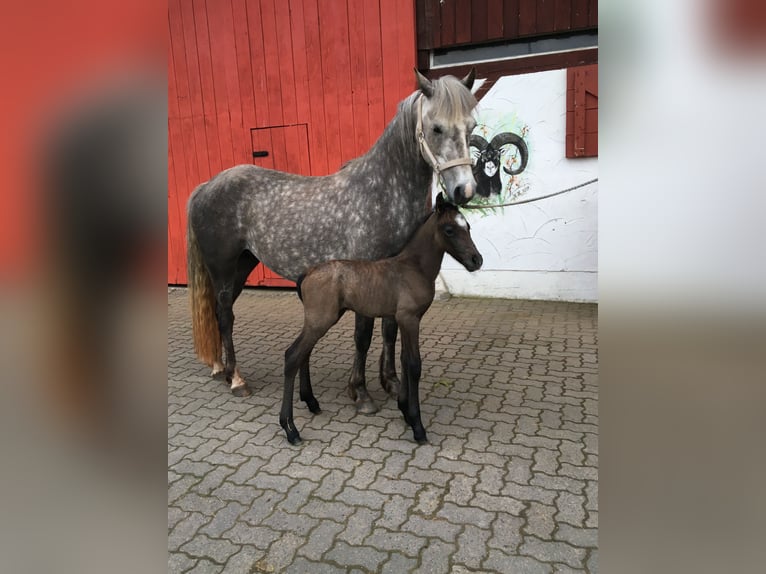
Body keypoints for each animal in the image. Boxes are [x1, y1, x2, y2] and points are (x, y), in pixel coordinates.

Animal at [187, 69, 478, 414]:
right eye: (436, 128)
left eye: (472, 127)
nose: (465, 190)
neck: (380, 191)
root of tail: (206, 186)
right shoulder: (365, 274)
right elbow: (363, 335)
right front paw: (360, 393)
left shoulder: (392, 277)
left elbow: (389, 329)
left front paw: (391, 383)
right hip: (222, 268)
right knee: (225, 314)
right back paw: (236, 380)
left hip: (242, 265)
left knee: (222, 312)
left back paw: (220, 368)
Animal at [280, 193, 483, 445]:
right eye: (449, 230)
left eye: (468, 227)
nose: (476, 260)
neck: (413, 267)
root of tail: (307, 272)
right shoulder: (409, 319)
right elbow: (414, 365)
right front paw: (417, 426)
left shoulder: (405, 320)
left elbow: (404, 360)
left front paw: (405, 411)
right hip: (320, 320)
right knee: (292, 356)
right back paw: (290, 429)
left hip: (320, 320)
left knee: (303, 355)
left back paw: (311, 402)